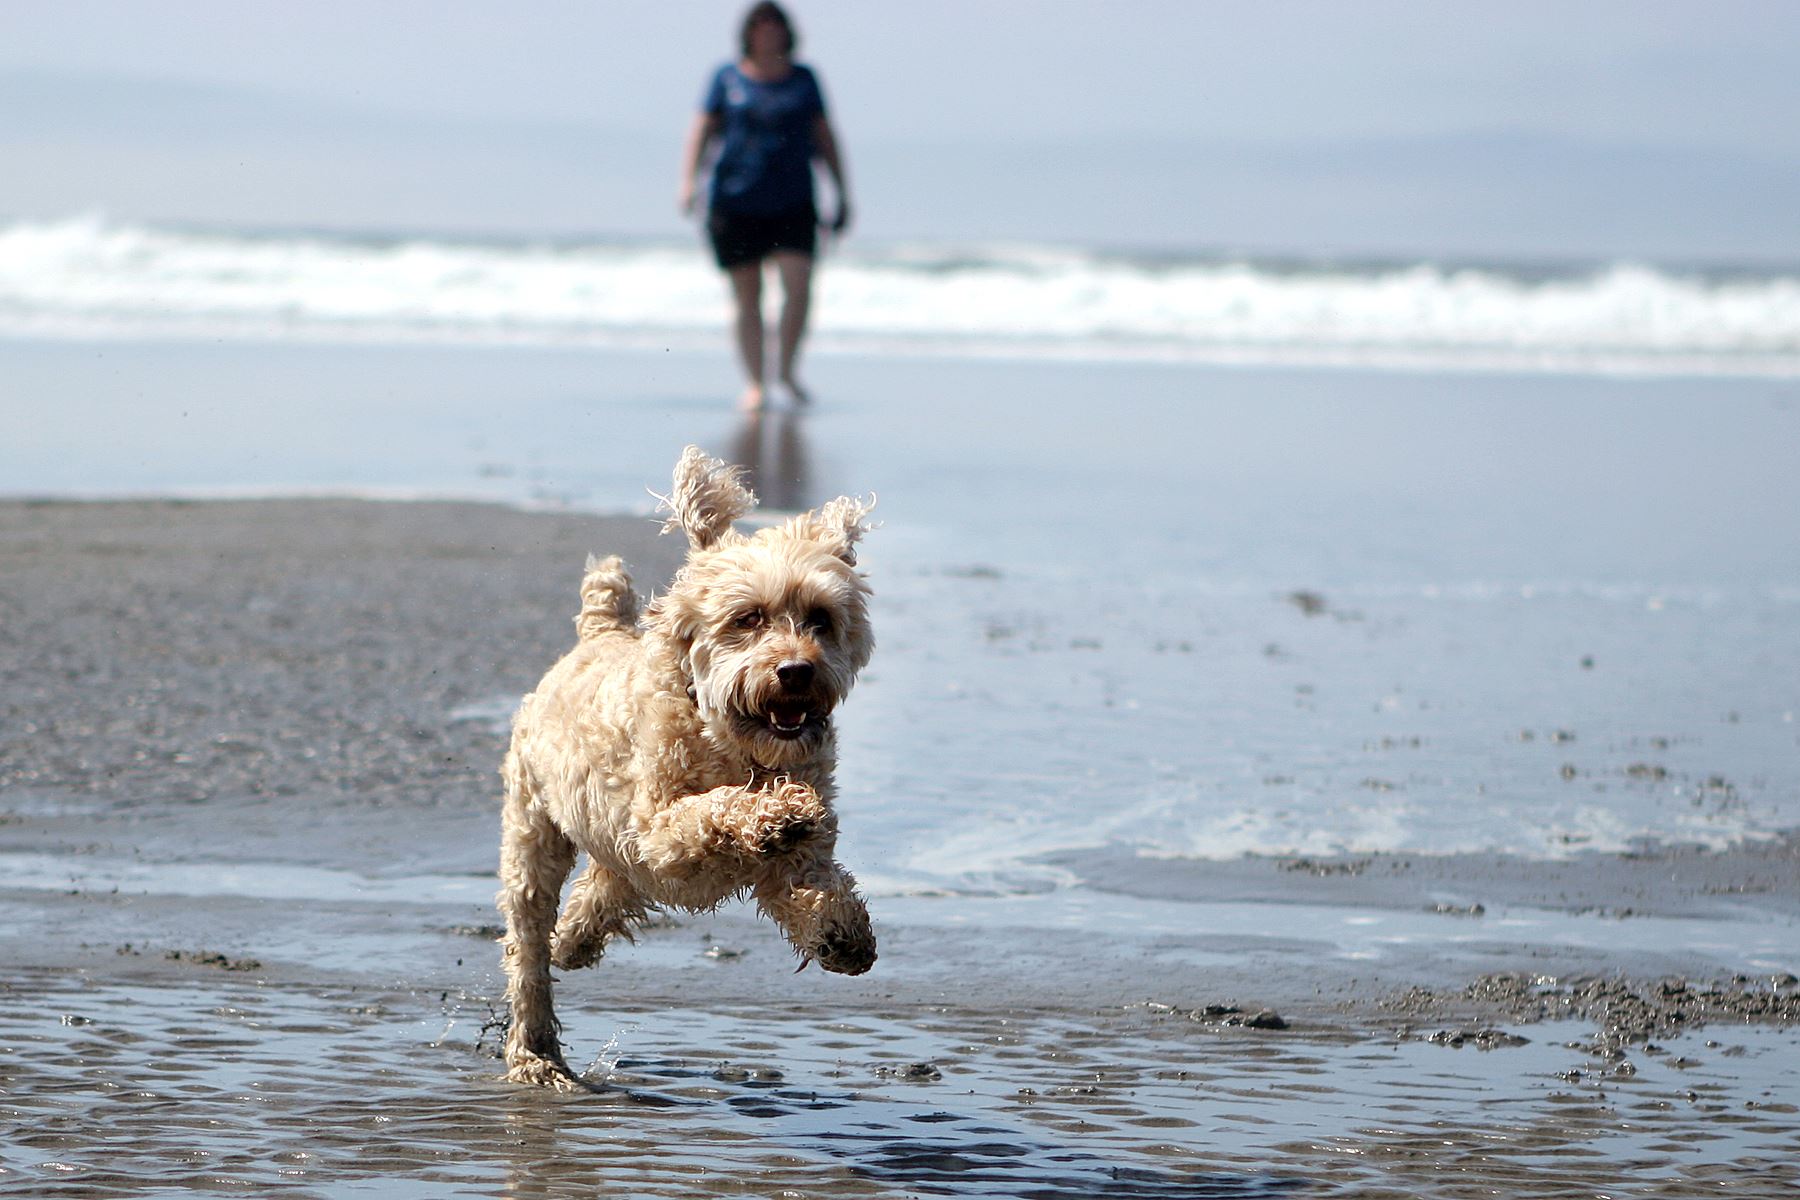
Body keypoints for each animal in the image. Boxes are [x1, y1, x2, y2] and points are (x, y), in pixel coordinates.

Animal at [500, 444, 878, 1086]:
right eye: (748, 618)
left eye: (820, 618)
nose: (796, 671)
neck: (734, 744)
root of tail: (598, 631)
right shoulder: (659, 829)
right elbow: (712, 812)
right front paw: (773, 811)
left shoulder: (795, 861)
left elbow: (816, 881)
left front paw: (843, 934)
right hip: (533, 832)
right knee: (528, 947)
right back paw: (535, 1053)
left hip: (606, 842)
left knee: (604, 886)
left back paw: (574, 942)